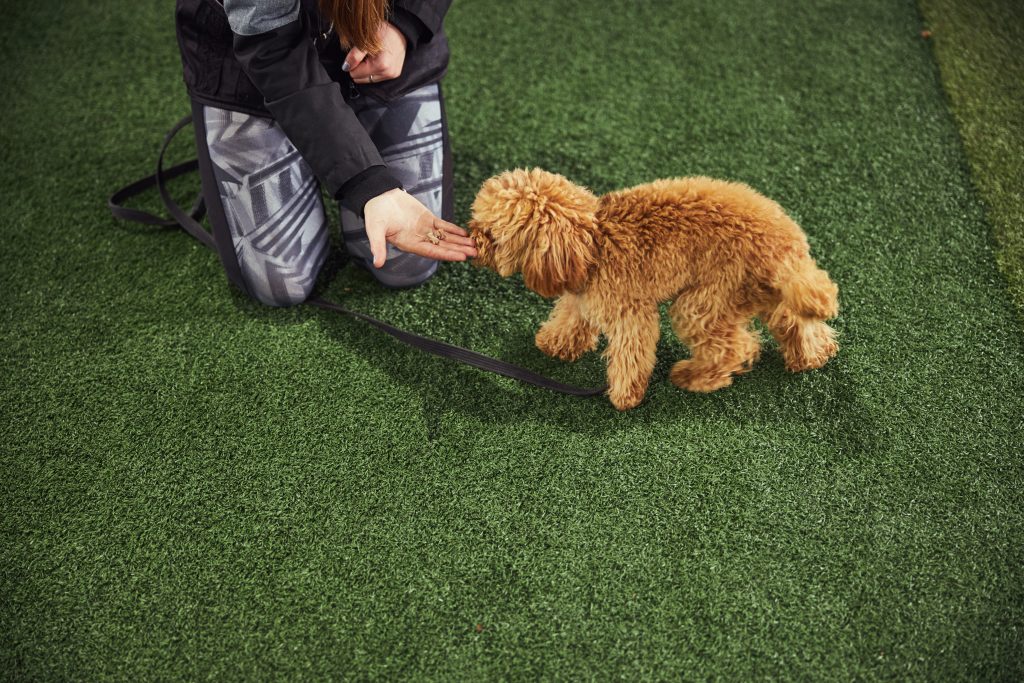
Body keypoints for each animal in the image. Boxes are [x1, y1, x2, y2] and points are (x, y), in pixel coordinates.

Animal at [471, 168, 839, 411]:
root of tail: (786, 243)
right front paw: (556, 344)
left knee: (736, 347)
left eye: (492, 234)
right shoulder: (581, 296)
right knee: (796, 321)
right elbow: (570, 318)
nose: (472, 237)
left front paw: (625, 396)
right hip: (766, 291)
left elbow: (630, 352)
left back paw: (695, 376)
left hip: (706, 298)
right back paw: (812, 356)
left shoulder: (629, 310)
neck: (592, 243)